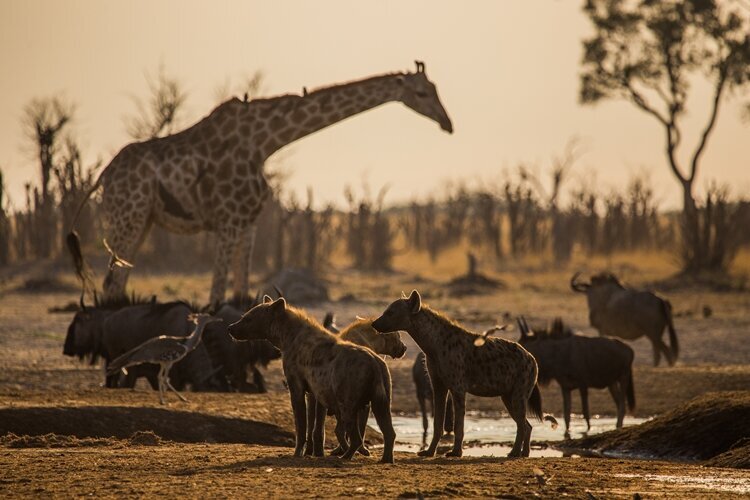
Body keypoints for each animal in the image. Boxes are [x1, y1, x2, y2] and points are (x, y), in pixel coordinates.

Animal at [68, 61, 453, 307]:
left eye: (435, 89)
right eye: (421, 93)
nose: (448, 123)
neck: (264, 143)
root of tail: (104, 175)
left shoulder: (248, 223)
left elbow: (240, 294)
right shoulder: (228, 222)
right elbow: (215, 297)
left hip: (143, 221)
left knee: (118, 283)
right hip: (127, 218)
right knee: (111, 282)